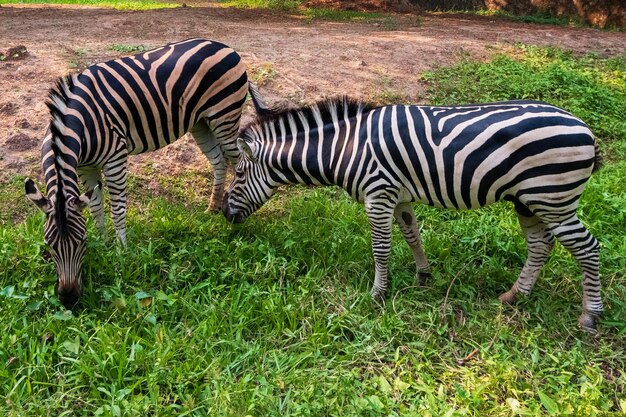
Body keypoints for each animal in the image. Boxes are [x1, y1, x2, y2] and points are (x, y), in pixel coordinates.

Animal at [24, 38, 249, 306]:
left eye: (81, 242)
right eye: (48, 244)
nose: (68, 299)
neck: (75, 125)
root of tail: (224, 46)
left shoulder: (115, 158)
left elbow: (117, 209)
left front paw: (121, 252)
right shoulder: (86, 167)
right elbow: (96, 206)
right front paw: (104, 242)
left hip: (225, 116)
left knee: (240, 160)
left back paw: (237, 212)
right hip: (200, 122)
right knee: (219, 161)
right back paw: (212, 208)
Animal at [222, 94, 604, 332]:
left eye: (238, 174)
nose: (225, 214)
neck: (345, 148)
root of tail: (584, 127)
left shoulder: (378, 194)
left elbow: (381, 248)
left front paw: (377, 294)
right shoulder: (399, 196)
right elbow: (412, 235)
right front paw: (423, 276)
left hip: (552, 198)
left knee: (588, 248)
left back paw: (590, 315)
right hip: (529, 200)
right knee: (541, 246)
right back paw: (514, 296)